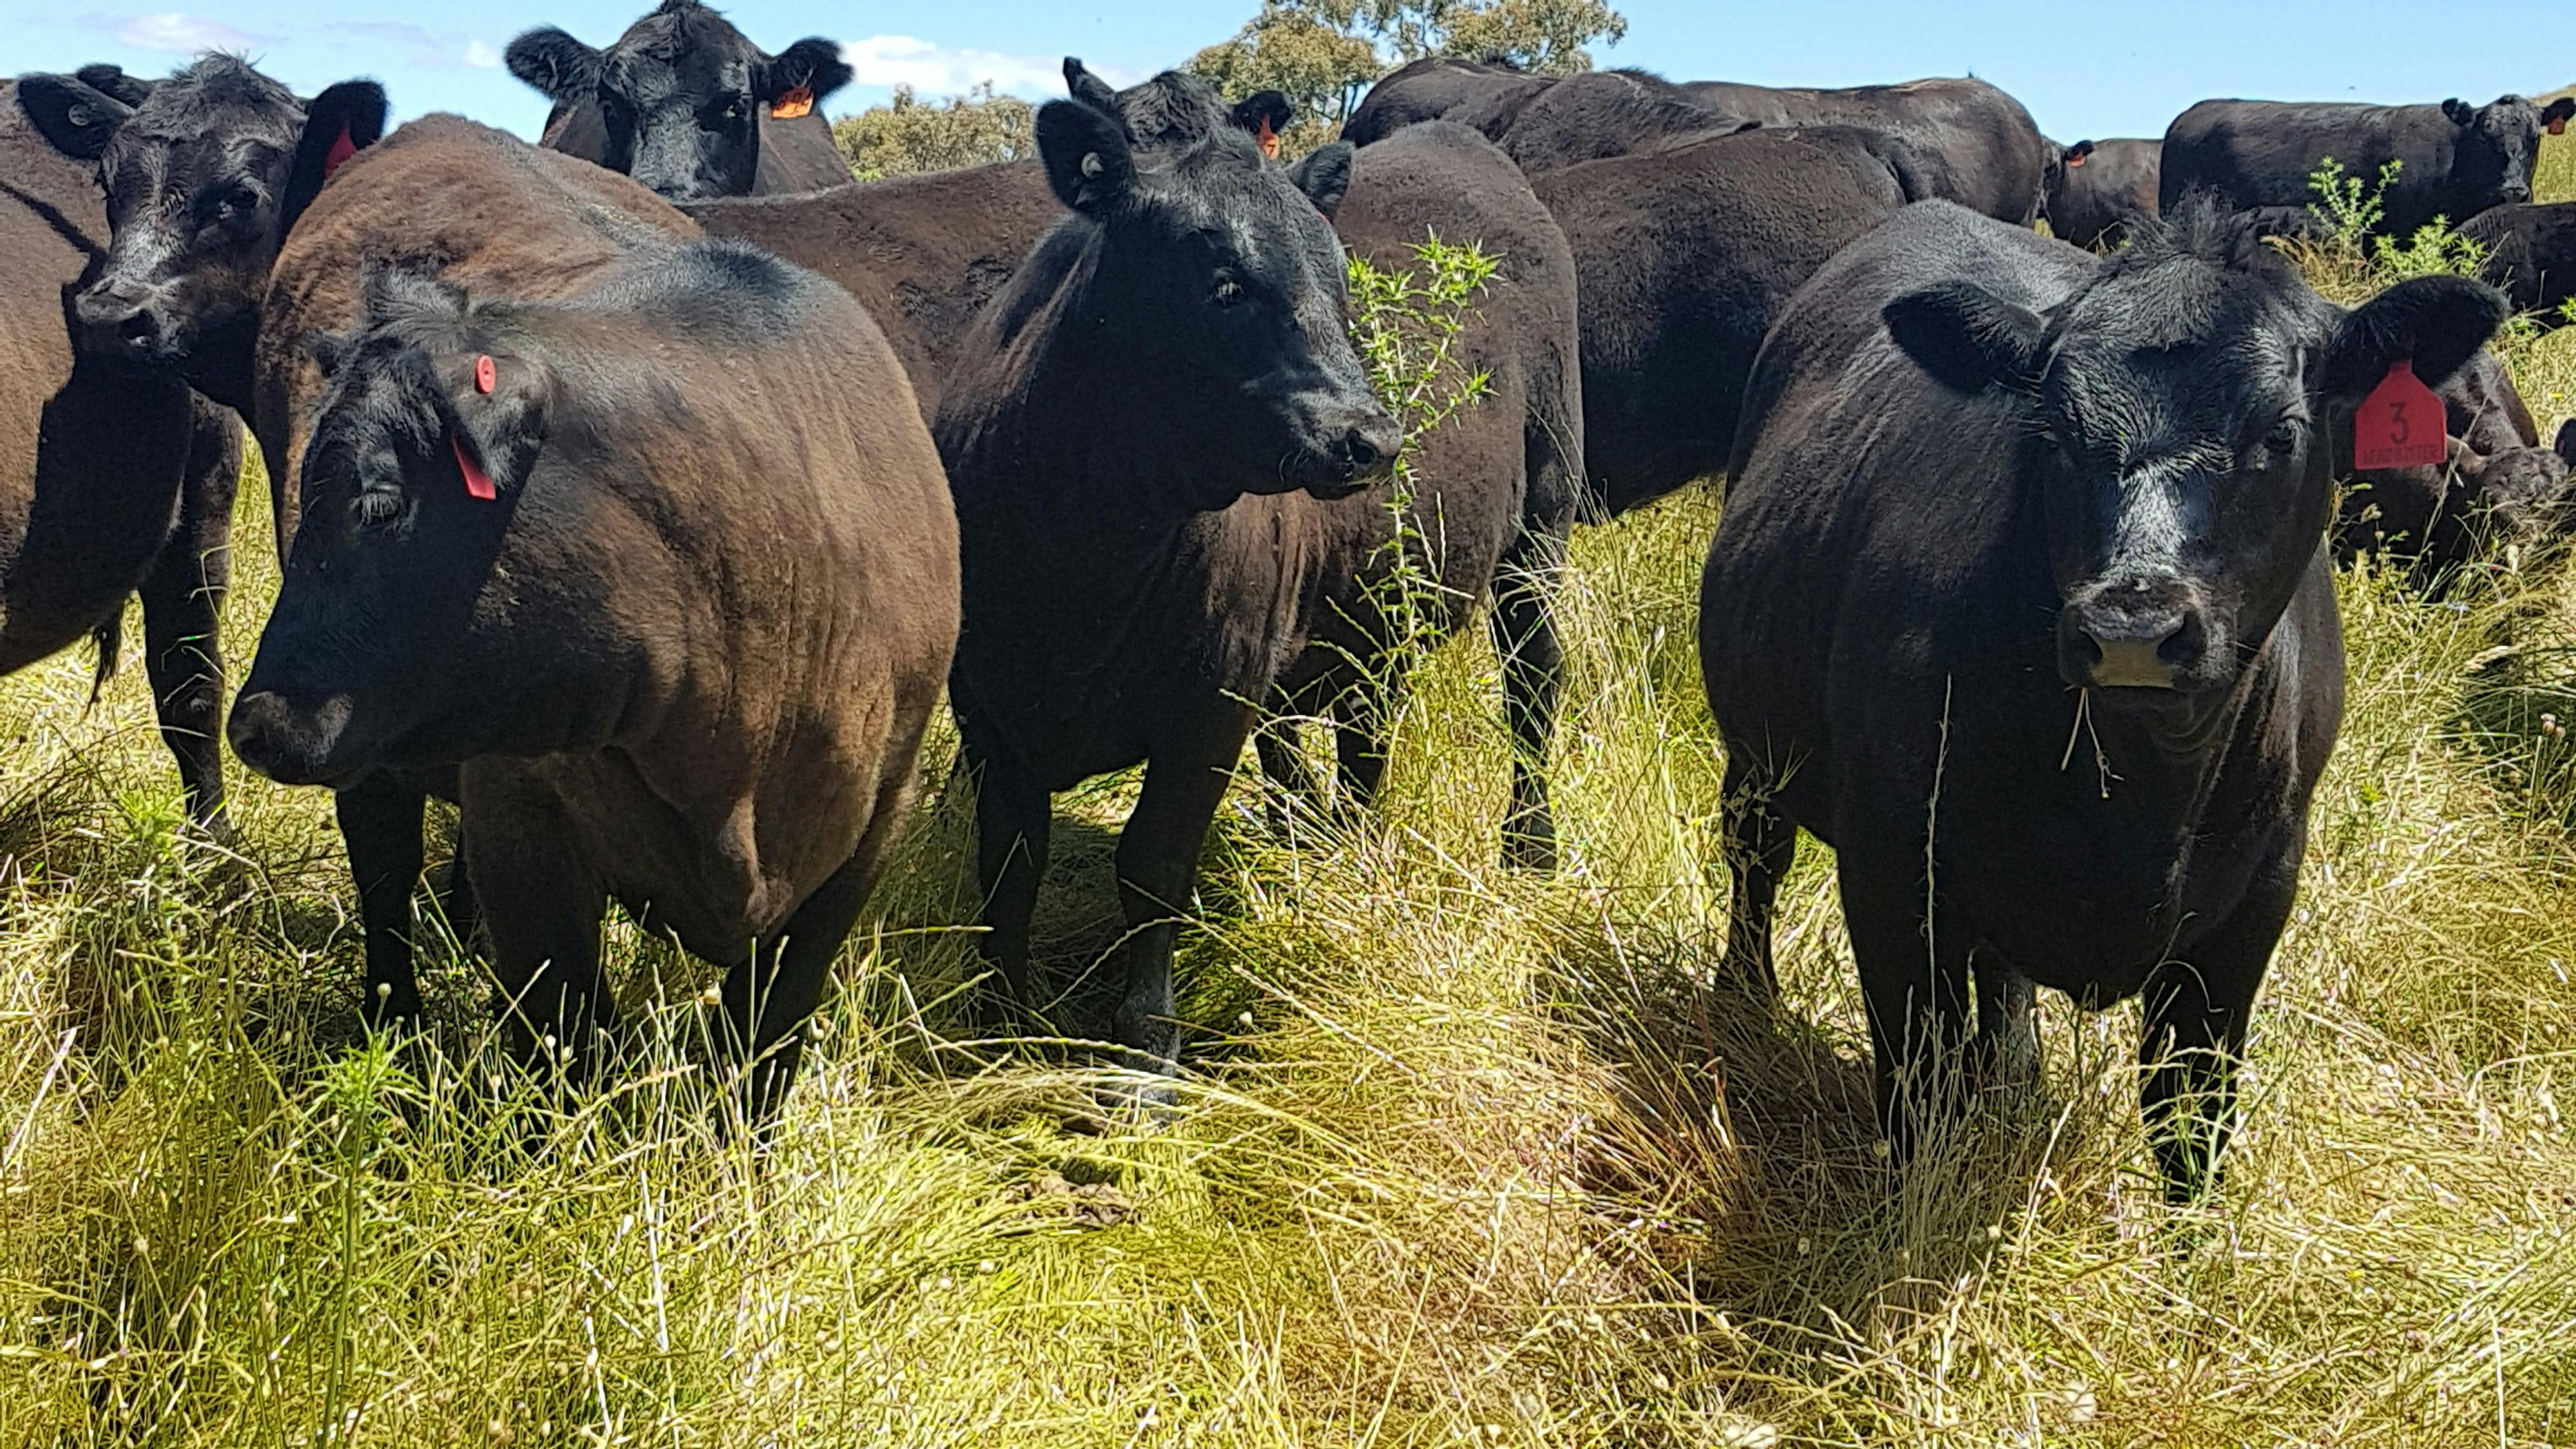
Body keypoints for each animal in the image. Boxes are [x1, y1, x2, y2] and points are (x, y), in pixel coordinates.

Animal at [226, 119, 955, 1115]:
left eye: (380, 502)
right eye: (312, 496)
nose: (254, 724)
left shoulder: (873, 829)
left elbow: (767, 1040)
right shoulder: (523, 819)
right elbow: (566, 1039)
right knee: (383, 867)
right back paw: (396, 1035)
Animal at [1700, 198, 2505, 1202]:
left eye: (2279, 433)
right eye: (2051, 433)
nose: (2133, 623)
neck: (2137, 800)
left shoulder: (2259, 891)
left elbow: (2191, 1115)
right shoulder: (1891, 867)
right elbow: (1917, 1092)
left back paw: (2013, 1070)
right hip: (1757, 753)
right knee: (1755, 858)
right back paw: (1744, 1004)